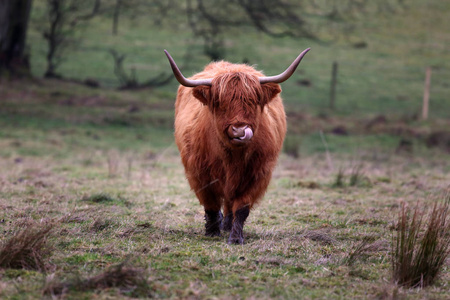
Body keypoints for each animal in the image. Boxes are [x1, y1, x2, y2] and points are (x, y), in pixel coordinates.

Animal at [164, 48, 310, 244]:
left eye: (252, 101)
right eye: (220, 103)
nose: (239, 130)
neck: (232, 158)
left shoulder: (257, 175)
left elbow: (241, 207)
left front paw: (235, 237)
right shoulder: (199, 173)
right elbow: (210, 203)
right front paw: (212, 232)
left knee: (230, 202)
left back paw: (227, 225)